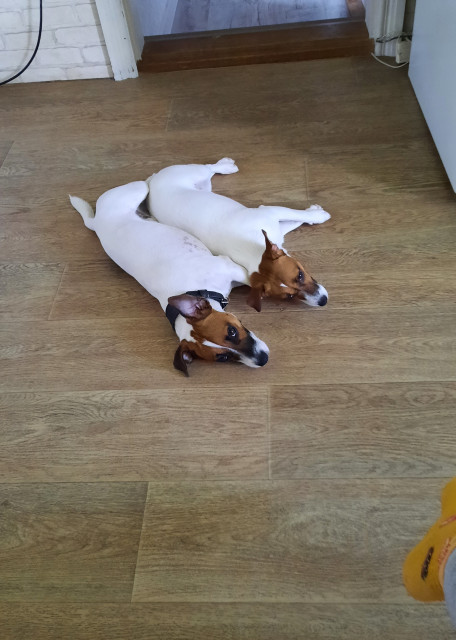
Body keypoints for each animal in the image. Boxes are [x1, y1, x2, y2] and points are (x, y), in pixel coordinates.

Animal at [69, 181, 269, 375]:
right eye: (223, 358)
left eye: (232, 331)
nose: (263, 360)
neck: (195, 289)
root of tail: (95, 222)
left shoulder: (233, 269)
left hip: (138, 188)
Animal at [147, 158, 331, 312]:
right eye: (290, 296)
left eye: (300, 275)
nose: (323, 301)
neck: (253, 249)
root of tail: (151, 181)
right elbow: (295, 219)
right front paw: (317, 214)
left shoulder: (272, 214)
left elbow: (297, 217)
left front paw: (316, 215)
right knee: (208, 167)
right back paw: (226, 165)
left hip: (199, 181)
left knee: (208, 168)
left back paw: (224, 166)